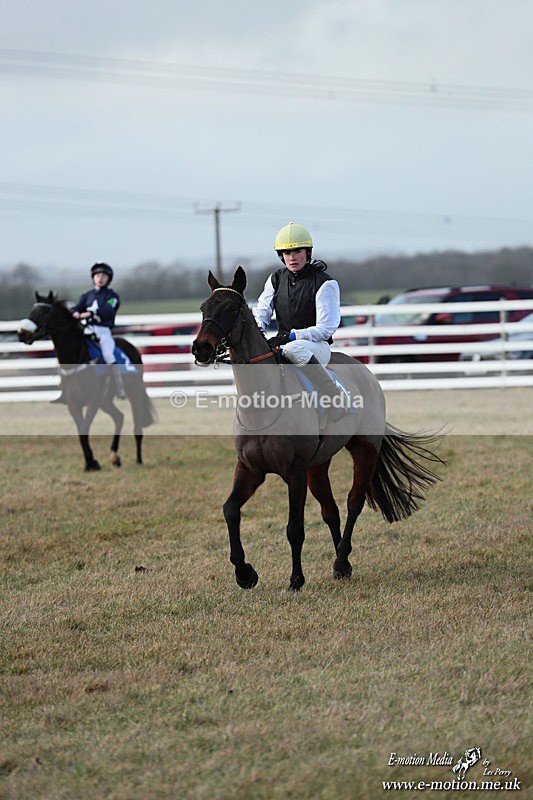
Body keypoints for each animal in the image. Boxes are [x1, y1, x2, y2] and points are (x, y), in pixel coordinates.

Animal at [18, 291, 157, 471]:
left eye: (45, 313)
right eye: (31, 311)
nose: (22, 333)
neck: (77, 359)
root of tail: (132, 348)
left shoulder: (93, 401)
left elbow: (84, 428)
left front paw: (92, 462)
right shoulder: (73, 404)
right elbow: (81, 431)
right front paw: (90, 462)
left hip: (134, 393)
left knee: (137, 426)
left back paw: (138, 460)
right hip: (106, 401)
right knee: (119, 417)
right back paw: (115, 456)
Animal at [191, 267, 445, 591]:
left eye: (233, 308)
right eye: (204, 308)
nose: (201, 348)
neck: (264, 401)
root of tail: (366, 373)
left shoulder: (295, 472)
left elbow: (294, 528)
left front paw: (296, 580)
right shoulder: (250, 468)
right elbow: (230, 510)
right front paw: (244, 573)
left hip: (364, 450)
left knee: (353, 502)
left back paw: (341, 558)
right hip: (319, 464)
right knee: (331, 510)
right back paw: (342, 565)